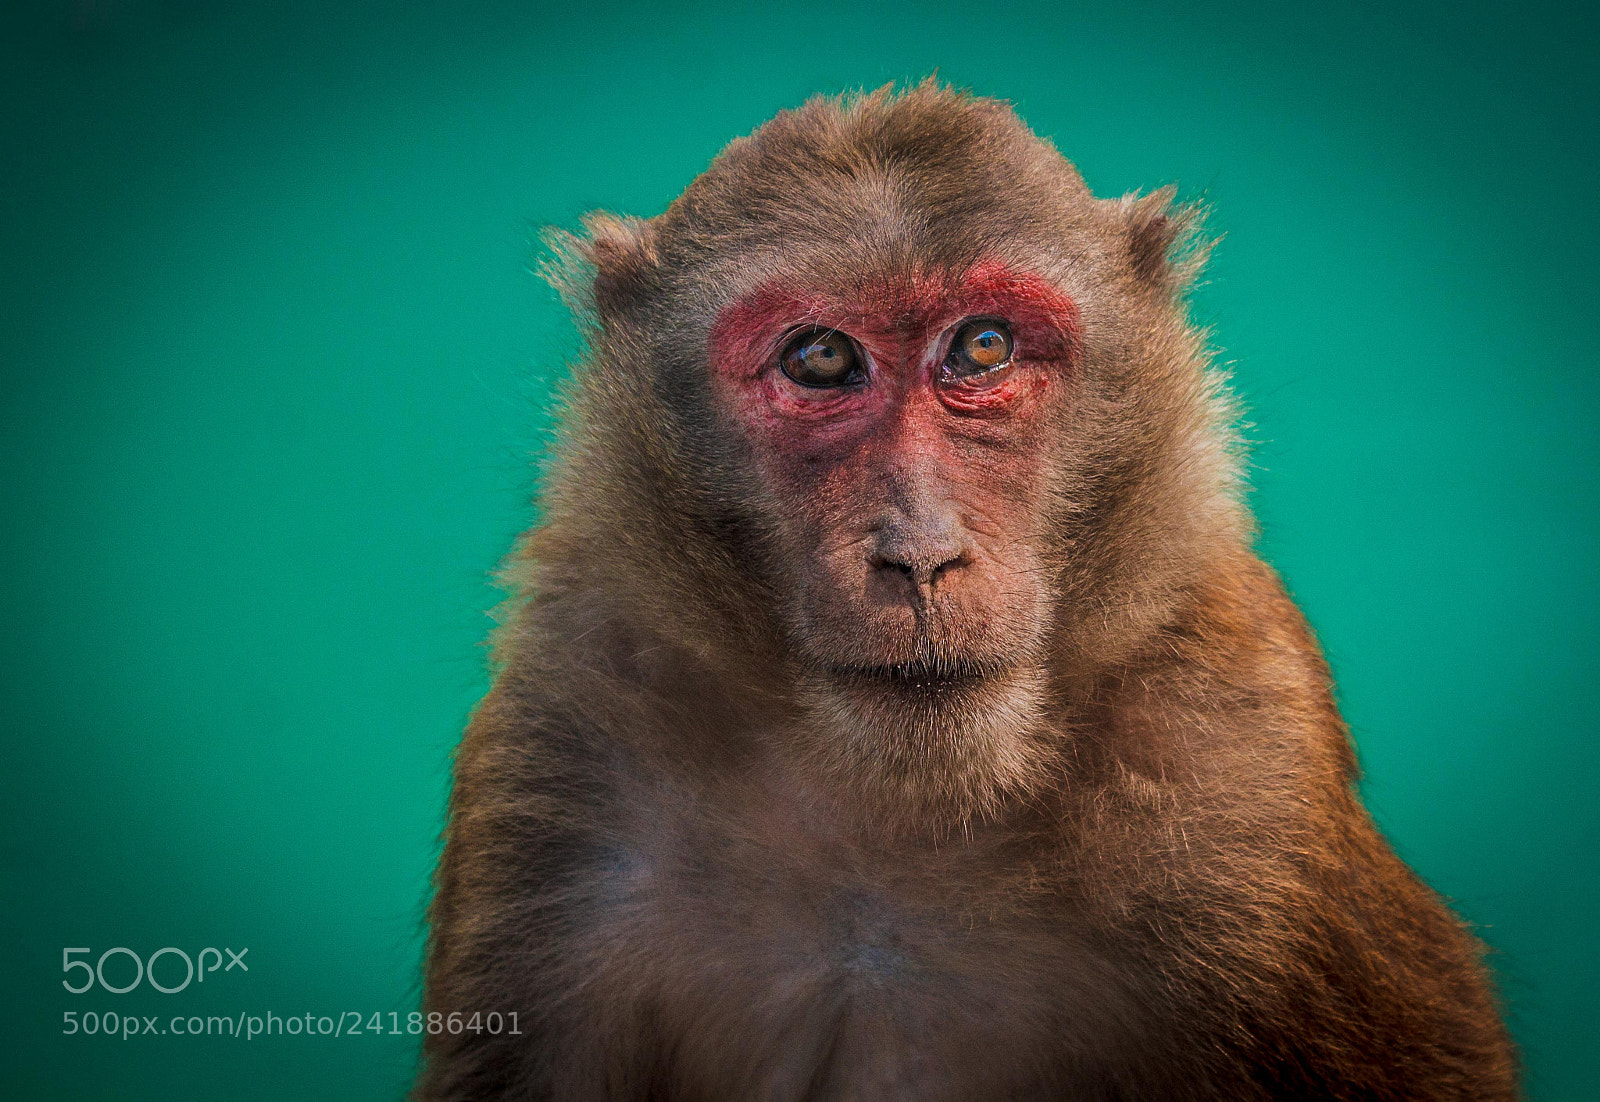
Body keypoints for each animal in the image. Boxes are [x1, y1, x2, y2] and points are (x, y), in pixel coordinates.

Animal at [417, 82, 1517, 1100]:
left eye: (983, 346)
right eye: (821, 357)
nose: (921, 554)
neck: (903, 808)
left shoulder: (1240, 780)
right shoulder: (564, 763)